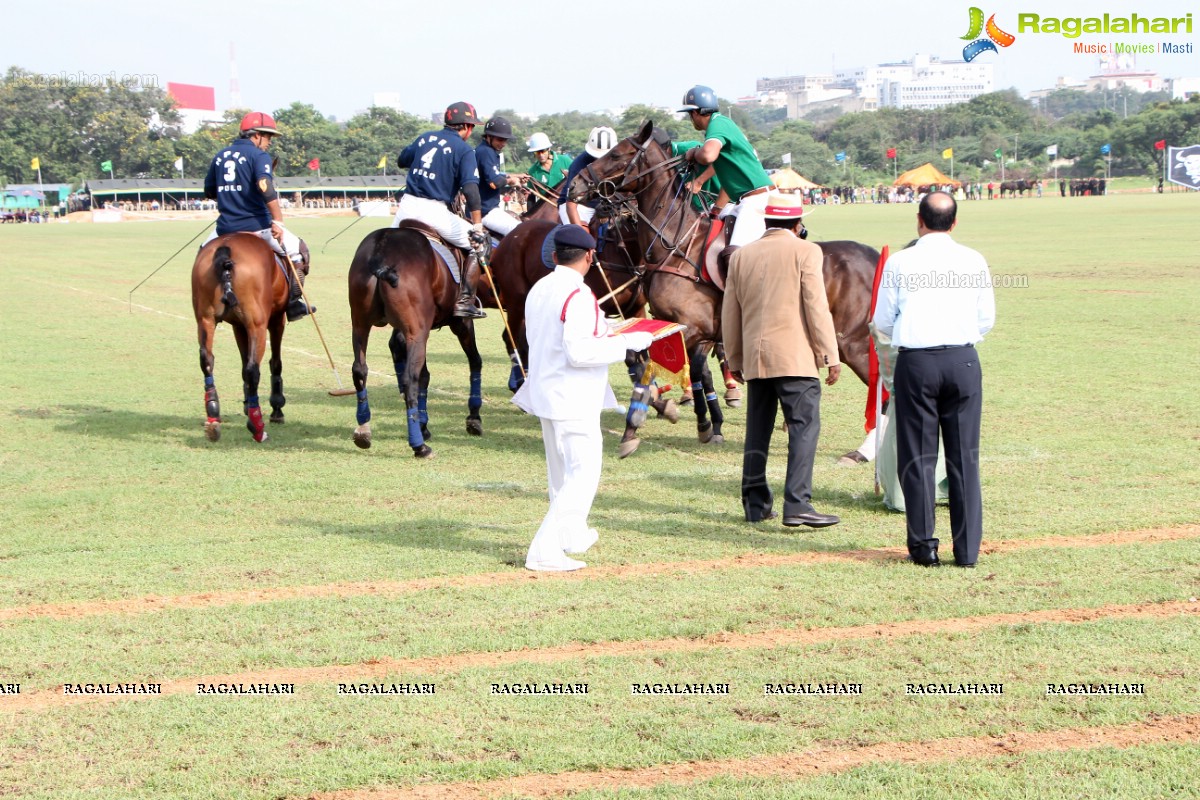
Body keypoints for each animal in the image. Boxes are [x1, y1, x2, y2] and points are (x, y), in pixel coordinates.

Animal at [190, 231, 298, 443]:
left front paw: (247, 404)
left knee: (206, 359)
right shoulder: (276, 319)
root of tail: (225, 250)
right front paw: (276, 407)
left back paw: (213, 416)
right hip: (258, 324)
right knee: (252, 369)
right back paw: (257, 427)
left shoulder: (238, 325)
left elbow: (242, 362)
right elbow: (275, 362)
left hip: (205, 319)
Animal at [348, 220, 482, 455]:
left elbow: (422, 372)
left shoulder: (405, 330)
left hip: (360, 324)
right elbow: (475, 361)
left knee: (360, 369)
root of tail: (380, 252)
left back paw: (364, 429)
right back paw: (419, 446)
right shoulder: (461, 322)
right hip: (417, 333)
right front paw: (474, 418)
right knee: (410, 378)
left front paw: (423, 424)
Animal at [566, 119, 878, 455]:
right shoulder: (694, 331)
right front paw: (705, 423)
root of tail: (872, 256)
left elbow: (652, 364)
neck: (677, 243)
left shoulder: (691, 327)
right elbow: (687, 371)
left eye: (616, 154)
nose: (575, 185)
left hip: (852, 342)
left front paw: (635, 426)